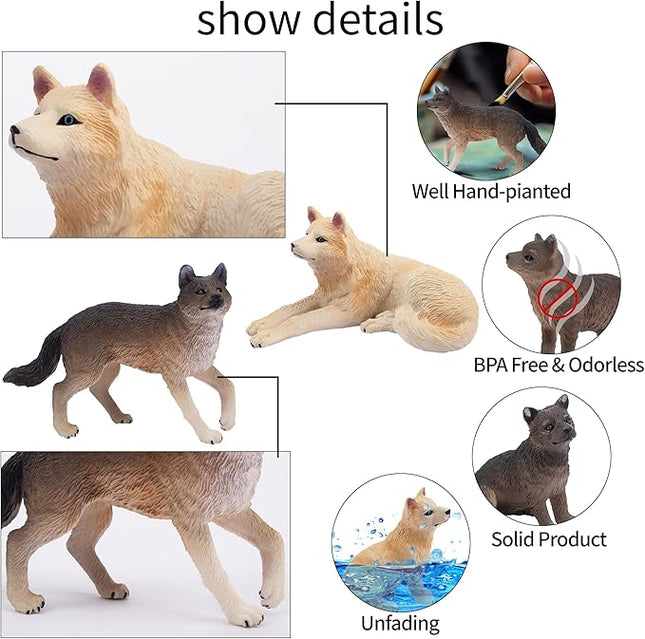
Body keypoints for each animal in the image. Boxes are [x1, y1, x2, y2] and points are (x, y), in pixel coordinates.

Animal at [1, 452, 285, 626]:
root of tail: (25, 454)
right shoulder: (191, 519)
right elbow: (214, 572)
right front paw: (240, 612)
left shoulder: (228, 508)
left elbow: (274, 537)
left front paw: (272, 593)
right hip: (59, 513)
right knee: (16, 540)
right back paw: (23, 601)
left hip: (97, 509)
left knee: (77, 544)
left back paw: (109, 587)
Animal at [3, 264, 234, 444]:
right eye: (200, 291)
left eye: (220, 289)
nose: (217, 298)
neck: (201, 331)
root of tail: (66, 324)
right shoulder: (175, 377)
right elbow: (191, 409)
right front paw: (207, 435)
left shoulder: (200, 368)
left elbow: (228, 385)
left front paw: (227, 421)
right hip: (86, 372)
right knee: (58, 389)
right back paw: (64, 429)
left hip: (108, 369)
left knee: (97, 389)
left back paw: (119, 416)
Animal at [247, 207, 478, 351]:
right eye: (306, 233)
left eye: (320, 239)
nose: (292, 244)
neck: (342, 274)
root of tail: (474, 315)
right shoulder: (321, 297)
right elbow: (288, 309)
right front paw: (261, 323)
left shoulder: (346, 313)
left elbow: (298, 319)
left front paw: (266, 334)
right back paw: (381, 317)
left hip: (416, 283)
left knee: (406, 323)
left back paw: (376, 323)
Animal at [476, 394, 576, 525]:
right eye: (549, 427)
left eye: (567, 420)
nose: (568, 429)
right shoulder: (535, 496)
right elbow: (543, 514)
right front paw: (549, 524)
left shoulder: (559, 490)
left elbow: (562, 508)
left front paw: (567, 518)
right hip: (488, 492)